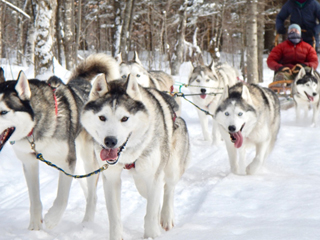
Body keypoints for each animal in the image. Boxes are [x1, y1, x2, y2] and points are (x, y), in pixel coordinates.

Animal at [0, 53, 119, 230]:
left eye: (3, 112)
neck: (35, 127)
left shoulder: (67, 161)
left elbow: (62, 197)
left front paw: (52, 219)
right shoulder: (29, 162)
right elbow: (35, 200)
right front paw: (35, 228)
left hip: (87, 157)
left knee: (92, 192)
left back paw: (87, 221)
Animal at [80, 73, 190, 240]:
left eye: (124, 118)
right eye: (102, 118)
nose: (110, 141)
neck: (127, 156)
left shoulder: (153, 177)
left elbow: (151, 214)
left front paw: (152, 235)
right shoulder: (111, 178)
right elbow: (115, 217)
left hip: (171, 167)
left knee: (168, 189)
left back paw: (166, 217)